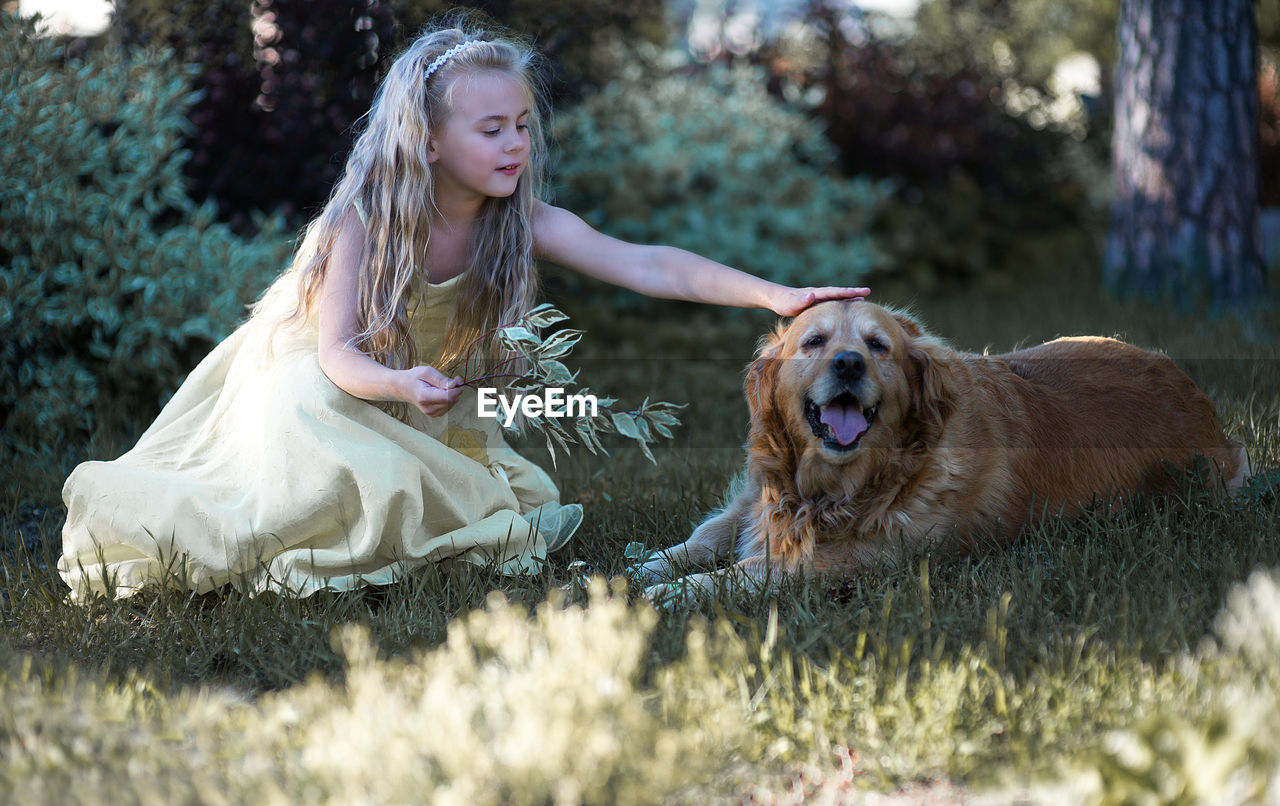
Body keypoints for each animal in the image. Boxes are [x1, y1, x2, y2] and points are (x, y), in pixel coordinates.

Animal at [640, 300, 1249, 603]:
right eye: (814, 342)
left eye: (877, 346)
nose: (848, 364)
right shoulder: (757, 501)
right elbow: (704, 536)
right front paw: (642, 566)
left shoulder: (868, 560)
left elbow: (747, 572)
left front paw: (670, 594)